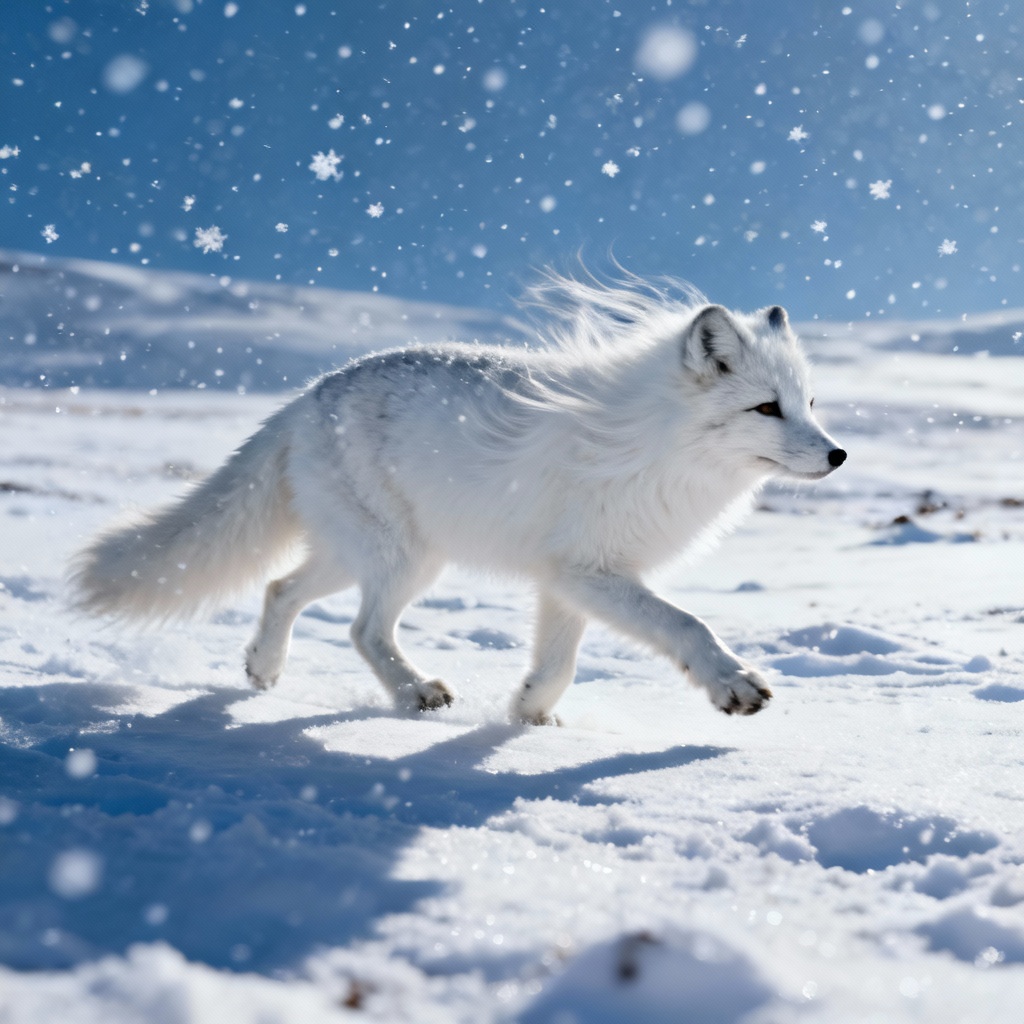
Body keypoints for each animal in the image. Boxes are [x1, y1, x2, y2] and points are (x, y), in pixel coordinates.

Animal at [72, 273, 846, 725]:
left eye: (809, 404)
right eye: (766, 408)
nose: (838, 455)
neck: (656, 445)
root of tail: (308, 394)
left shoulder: (568, 579)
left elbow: (558, 662)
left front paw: (529, 716)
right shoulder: (590, 571)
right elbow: (686, 623)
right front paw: (732, 683)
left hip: (365, 555)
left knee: (278, 588)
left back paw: (264, 668)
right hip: (403, 560)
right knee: (361, 629)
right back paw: (413, 694)